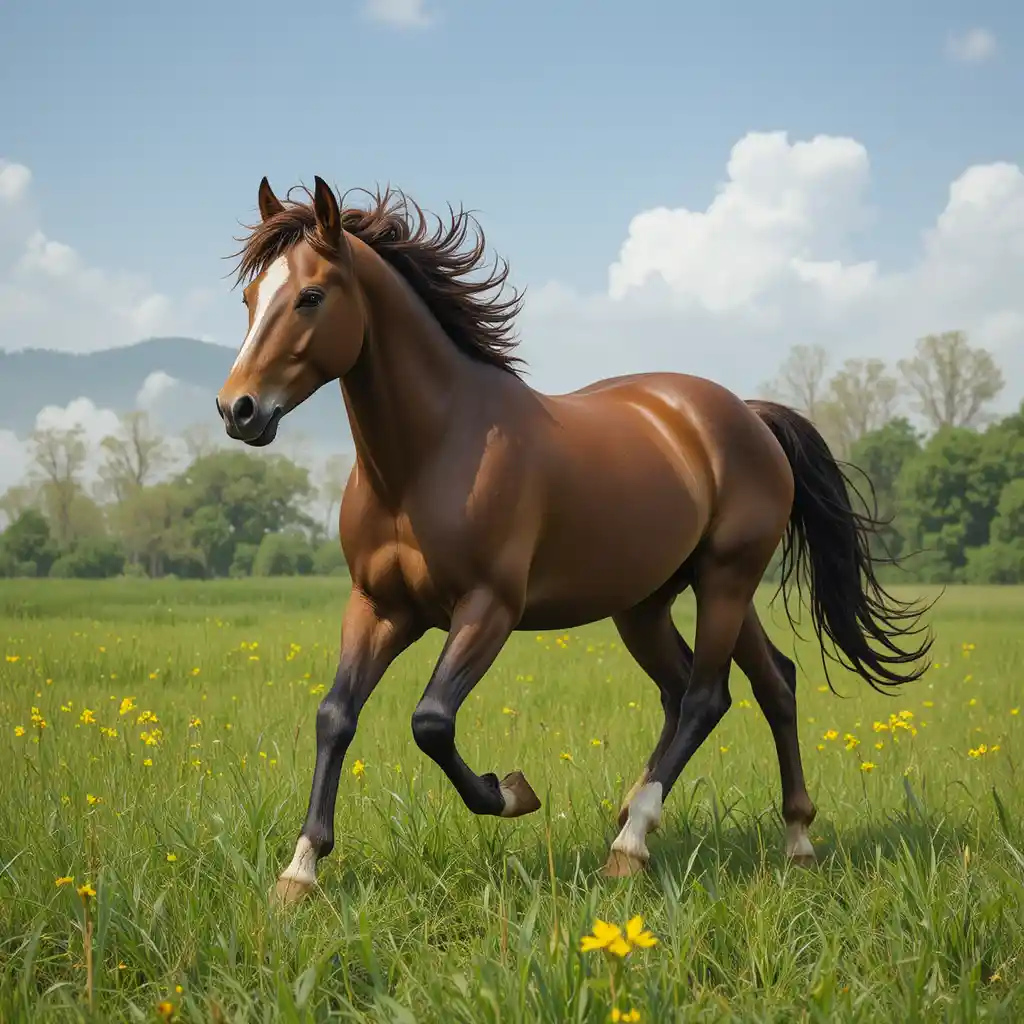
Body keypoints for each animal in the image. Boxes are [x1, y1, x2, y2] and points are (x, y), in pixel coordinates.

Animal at [215, 175, 933, 904]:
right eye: (250, 297)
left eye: (310, 296)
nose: (237, 409)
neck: (427, 457)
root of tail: (749, 415)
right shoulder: (379, 607)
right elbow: (335, 714)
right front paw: (299, 870)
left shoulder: (488, 608)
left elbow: (431, 721)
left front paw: (512, 792)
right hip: (653, 602)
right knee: (756, 684)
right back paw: (787, 838)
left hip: (726, 580)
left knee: (707, 696)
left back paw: (632, 841)